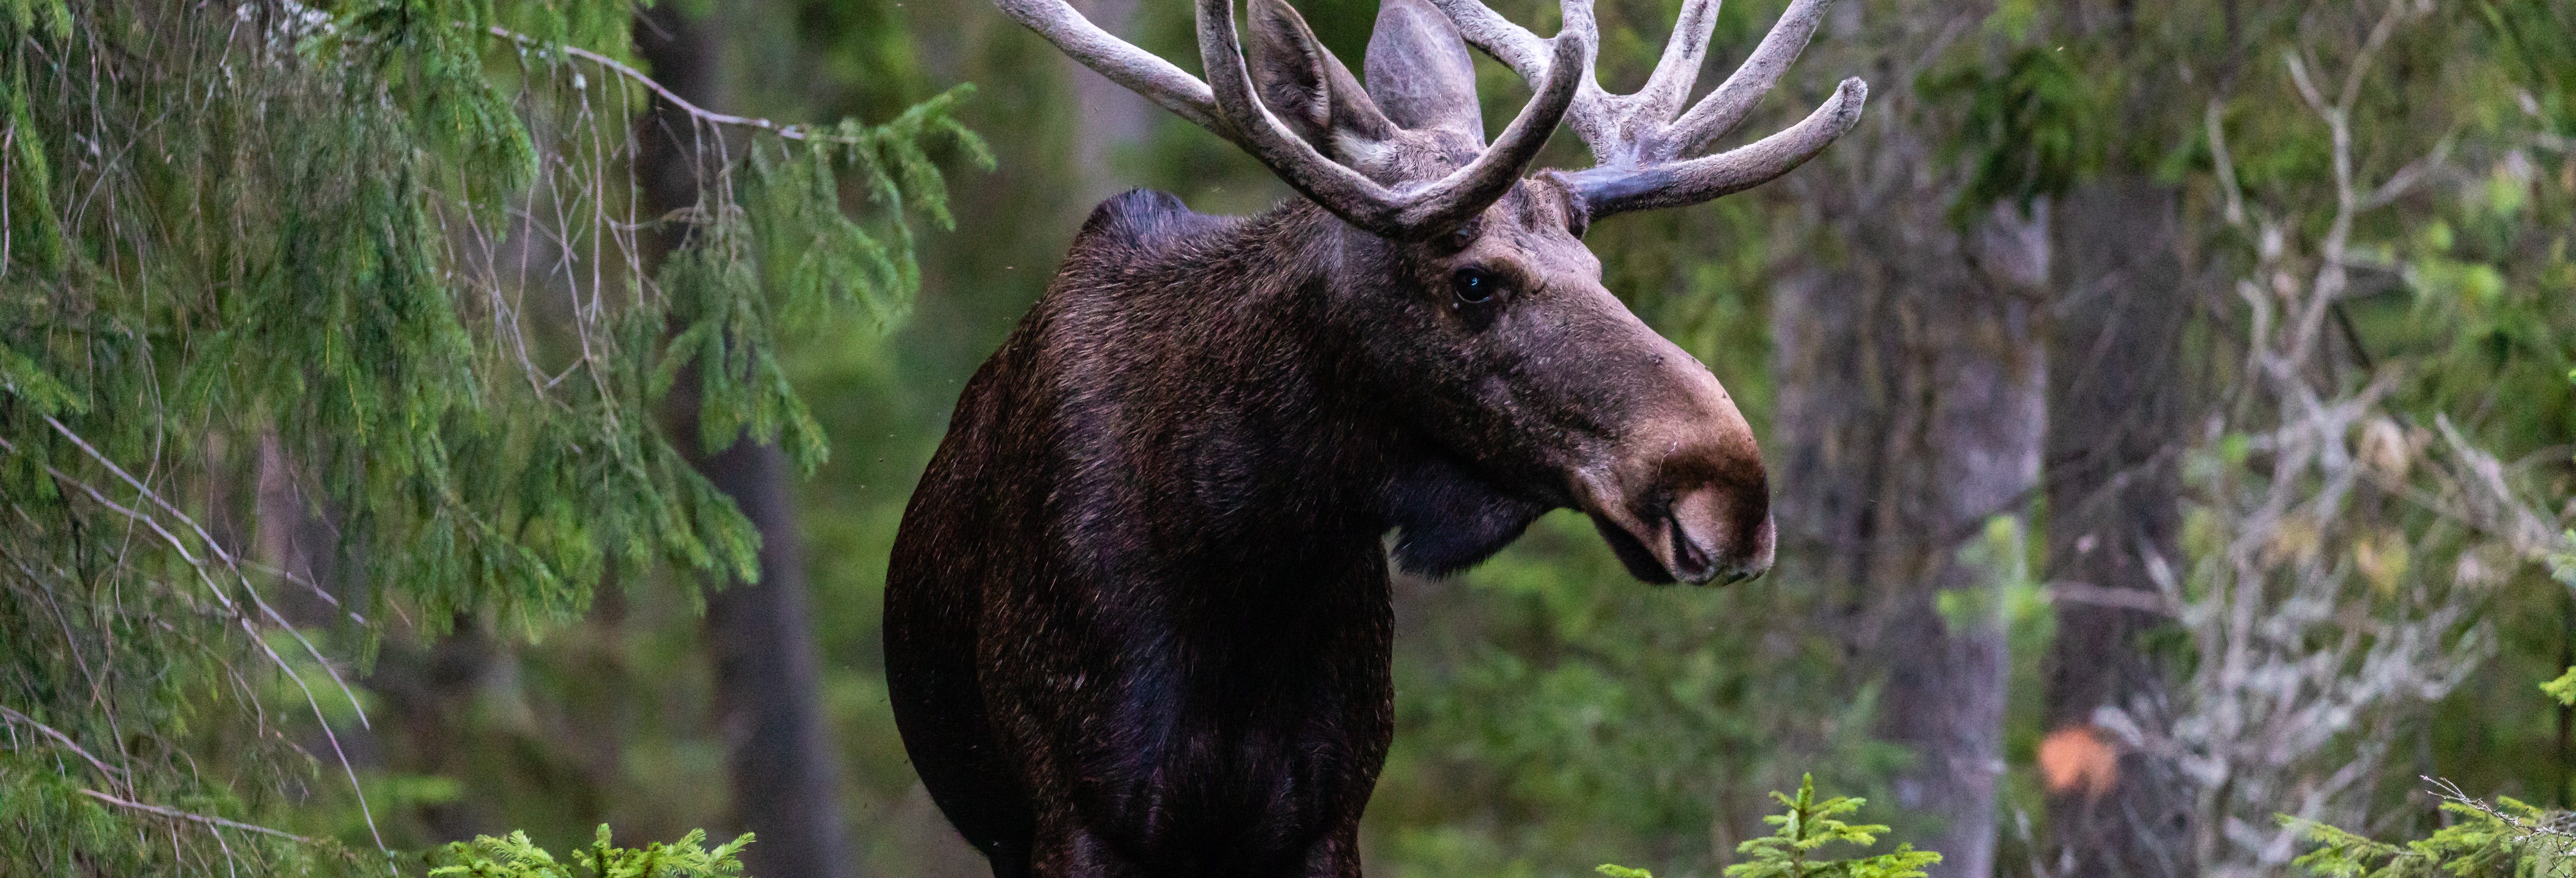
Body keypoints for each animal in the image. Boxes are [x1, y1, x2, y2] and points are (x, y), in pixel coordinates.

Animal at [881, 0, 1855, 870]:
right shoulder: (1079, 818)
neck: (1241, 561)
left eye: (1596, 264)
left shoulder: (1328, 815)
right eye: (1473, 281)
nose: (1731, 490)